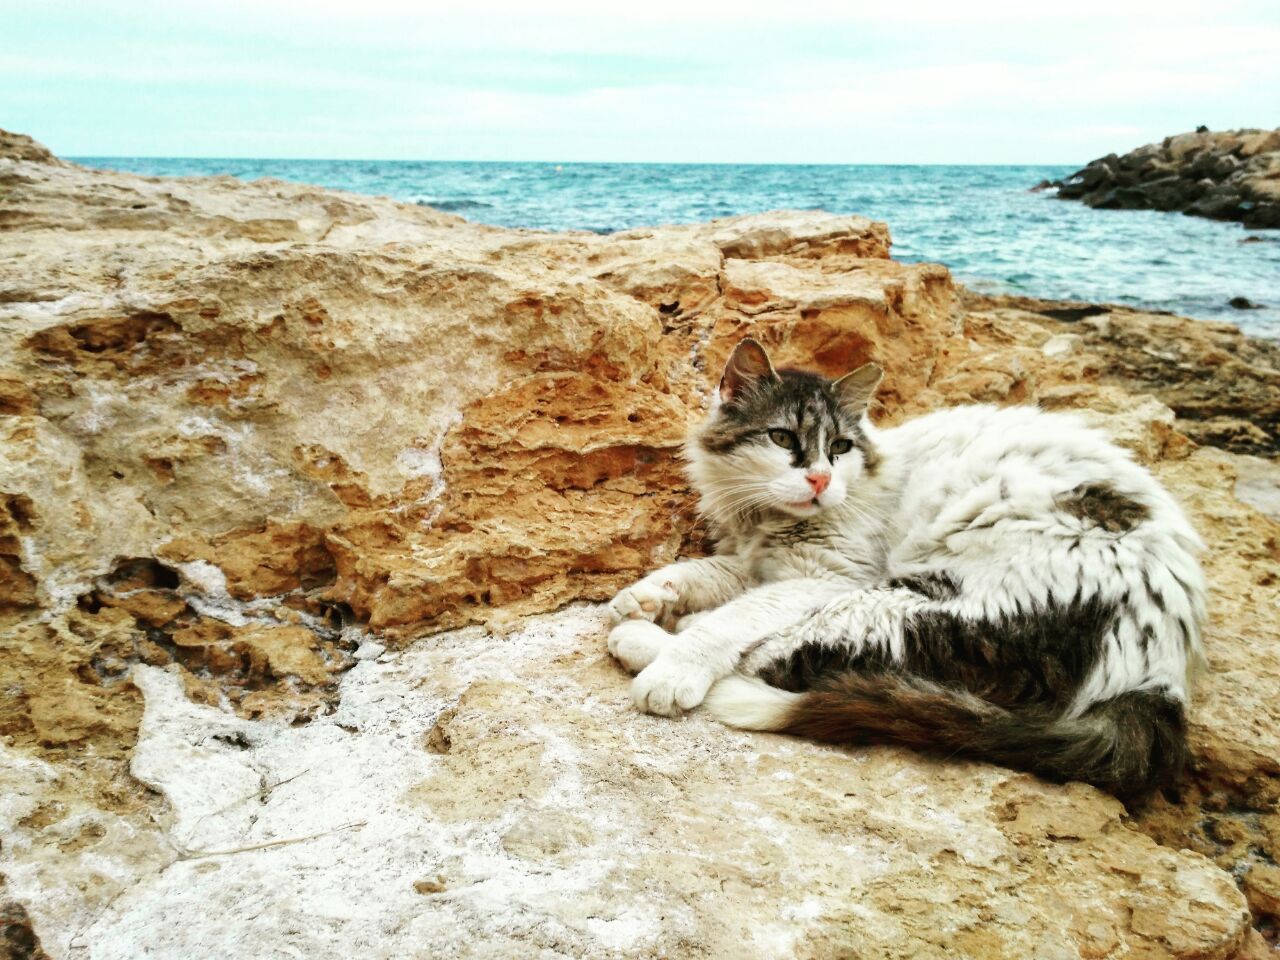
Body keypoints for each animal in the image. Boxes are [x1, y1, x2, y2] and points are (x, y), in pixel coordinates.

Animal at [604, 337, 1203, 803]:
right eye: (782, 438)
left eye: (840, 447)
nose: (821, 480)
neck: (766, 520)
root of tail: (1160, 684)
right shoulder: (755, 562)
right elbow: (700, 571)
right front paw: (644, 595)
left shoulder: (824, 576)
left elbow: (732, 620)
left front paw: (673, 660)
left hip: (900, 605)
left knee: (779, 661)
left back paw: (645, 642)